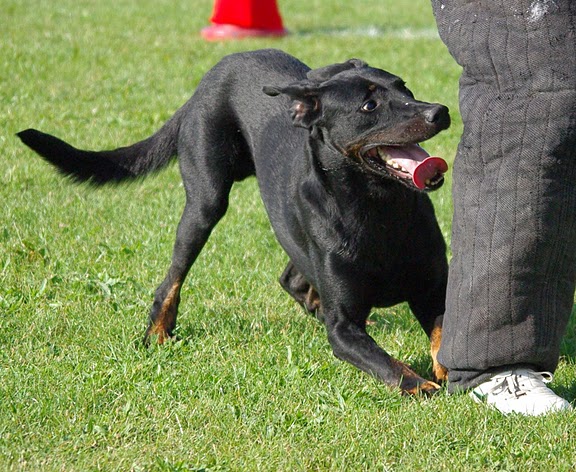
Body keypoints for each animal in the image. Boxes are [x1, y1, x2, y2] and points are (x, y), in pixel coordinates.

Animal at [18, 48, 450, 394]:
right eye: (369, 106)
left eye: (405, 88)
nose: (439, 111)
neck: (378, 208)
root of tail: (214, 73)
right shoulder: (343, 329)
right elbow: (383, 361)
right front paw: (420, 384)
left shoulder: (433, 286)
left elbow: (444, 332)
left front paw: (447, 371)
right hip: (205, 203)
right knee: (172, 278)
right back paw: (157, 335)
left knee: (292, 276)